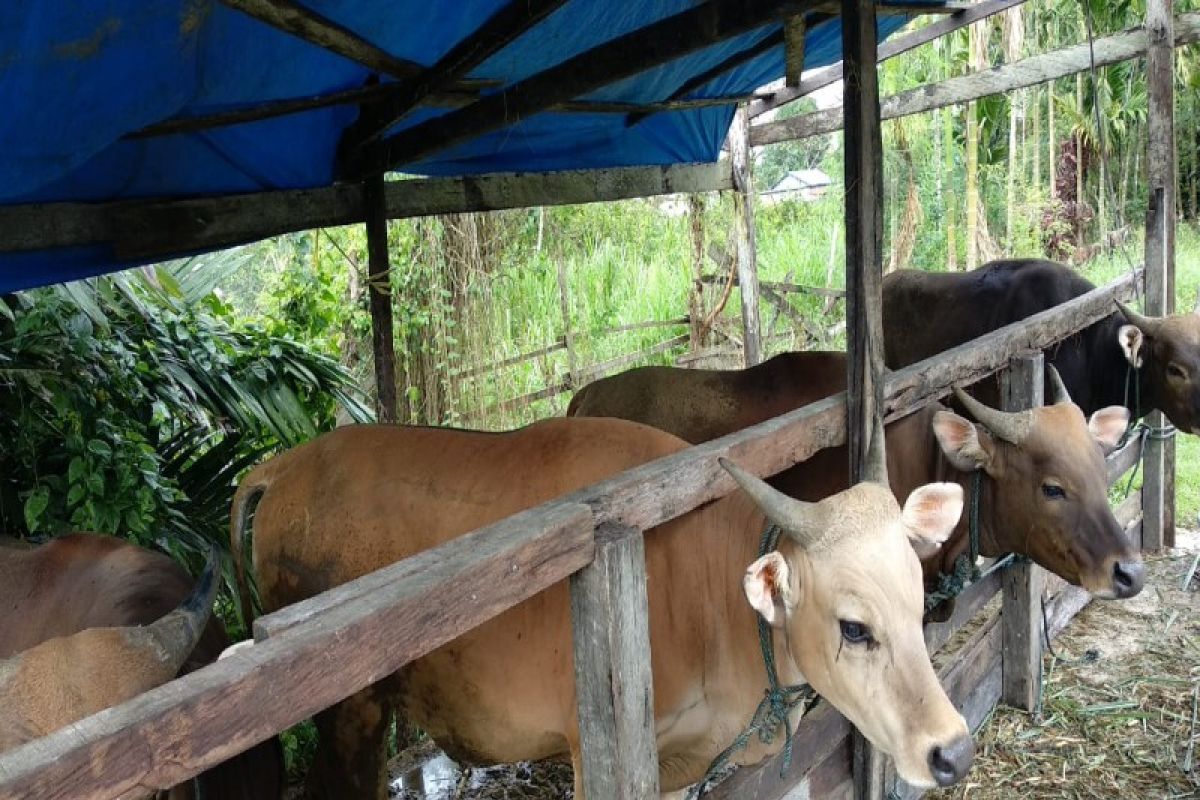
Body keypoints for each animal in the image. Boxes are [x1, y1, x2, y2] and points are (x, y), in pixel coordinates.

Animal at [231, 419, 974, 800]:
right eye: (854, 628)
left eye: (916, 599)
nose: (953, 751)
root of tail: (285, 466)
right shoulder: (600, 755)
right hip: (348, 716)